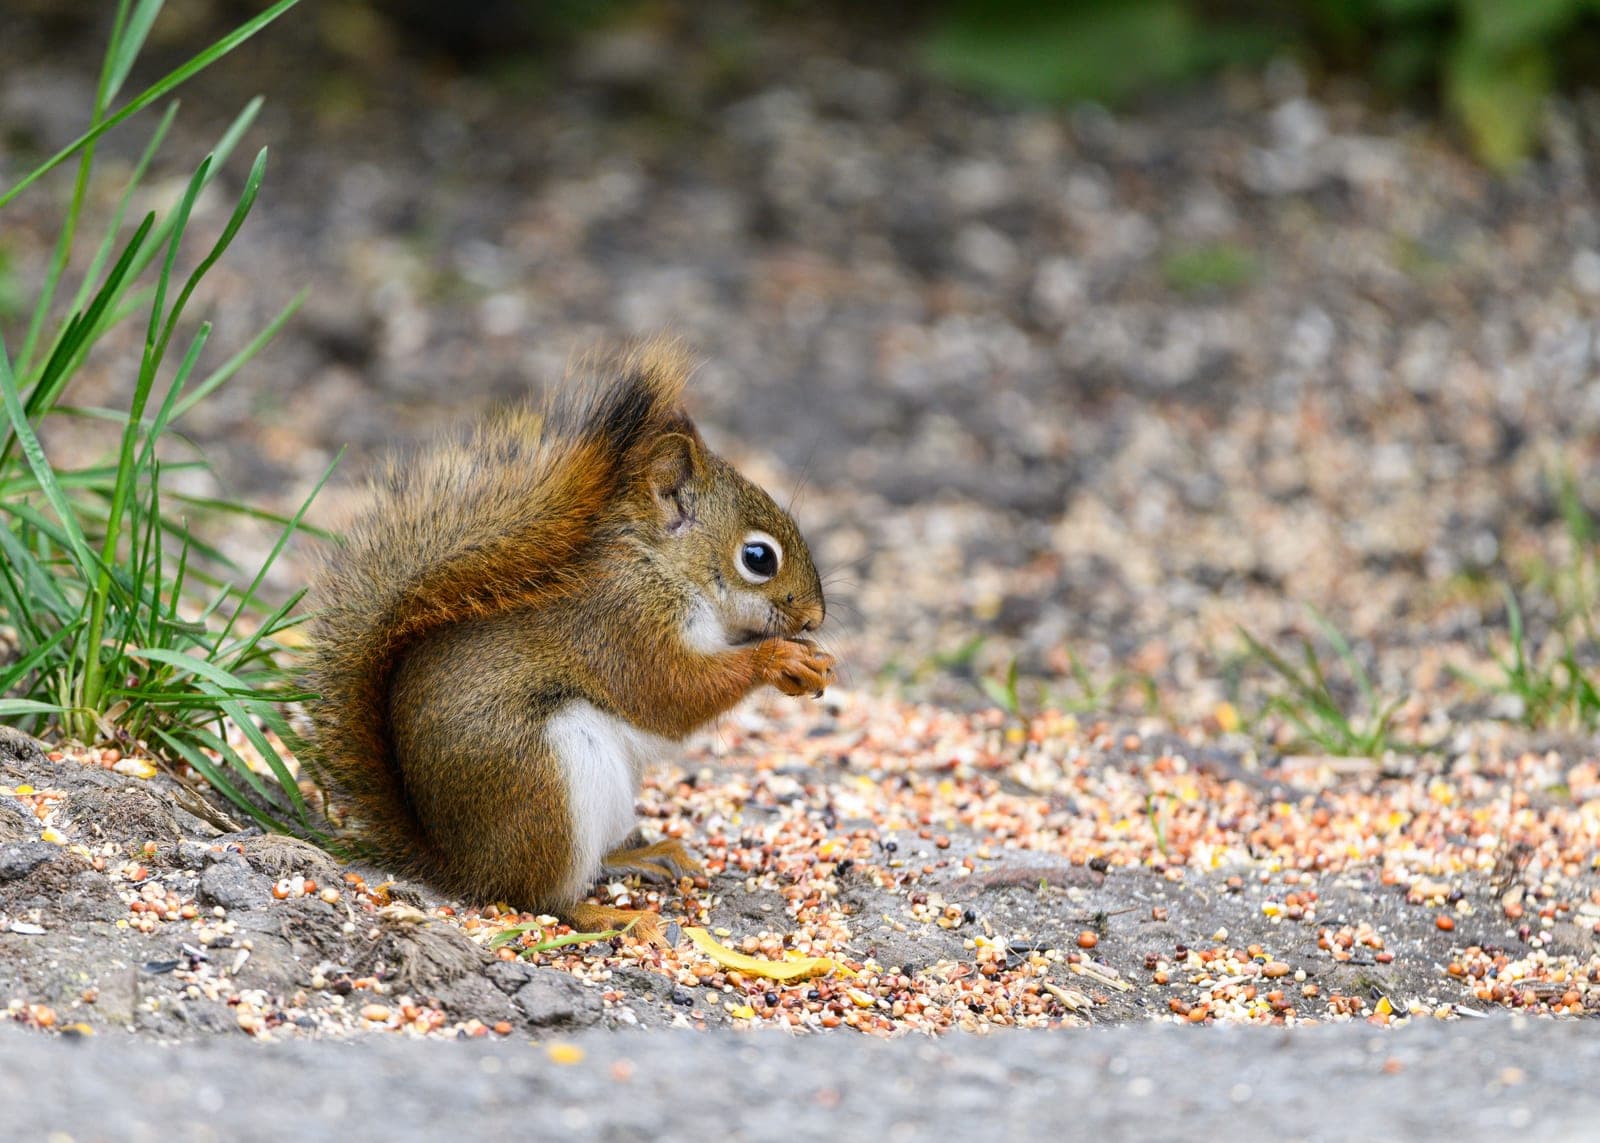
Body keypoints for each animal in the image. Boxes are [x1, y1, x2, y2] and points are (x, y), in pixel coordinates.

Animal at [306, 341, 835, 944]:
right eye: (758, 558)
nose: (815, 617)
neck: (661, 566)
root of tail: (460, 864)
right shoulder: (622, 625)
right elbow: (671, 693)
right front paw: (779, 657)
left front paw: (812, 662)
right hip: (547, 785)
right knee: (544, 898)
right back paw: (612, 915)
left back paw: (647, 854)